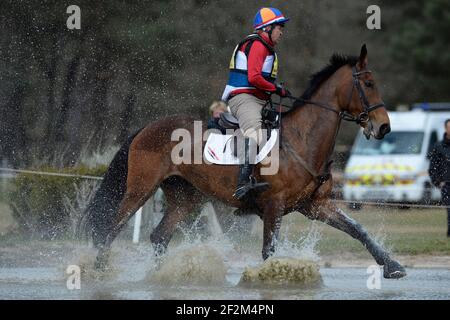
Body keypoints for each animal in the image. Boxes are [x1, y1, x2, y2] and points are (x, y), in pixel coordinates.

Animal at [82, 44, 406, 278]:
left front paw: (392, 266)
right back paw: (100, 272)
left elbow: (358, 230)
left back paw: (161, 276)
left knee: (160, 236)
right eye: (369, 83)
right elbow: (269, 250)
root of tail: (146, 127)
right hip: (141, 188)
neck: (303, 140)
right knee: (112, 226)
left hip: (186, 197)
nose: (383, 127)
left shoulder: (316, 205)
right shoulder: (274, 205)